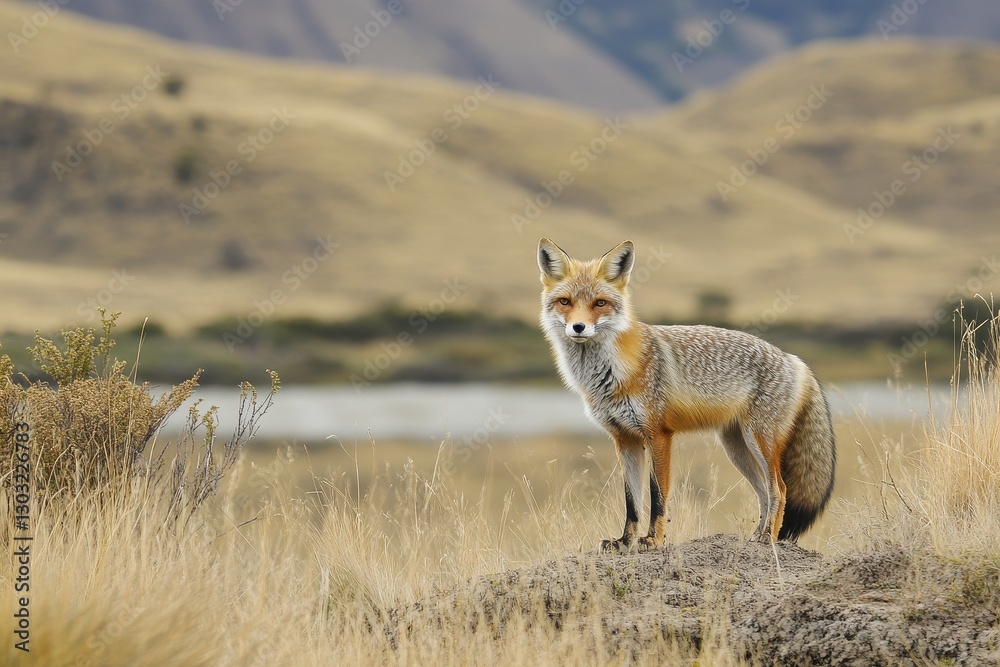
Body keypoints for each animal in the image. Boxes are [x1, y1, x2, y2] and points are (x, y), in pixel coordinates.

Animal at [537, 238, 836, 550]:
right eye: (565, 301)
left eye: (600, 303)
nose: (578, 327)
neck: (611, 374)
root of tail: (792, 358)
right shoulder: (624, 438)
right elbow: (632, 500)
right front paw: (624, 541)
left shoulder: (658, 434)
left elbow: (657, 495)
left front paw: (653, 539)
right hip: (737, 447)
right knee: (764, 491)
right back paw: (756, 536)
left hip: (760, 441)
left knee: (779, 488)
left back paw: (768, 538)